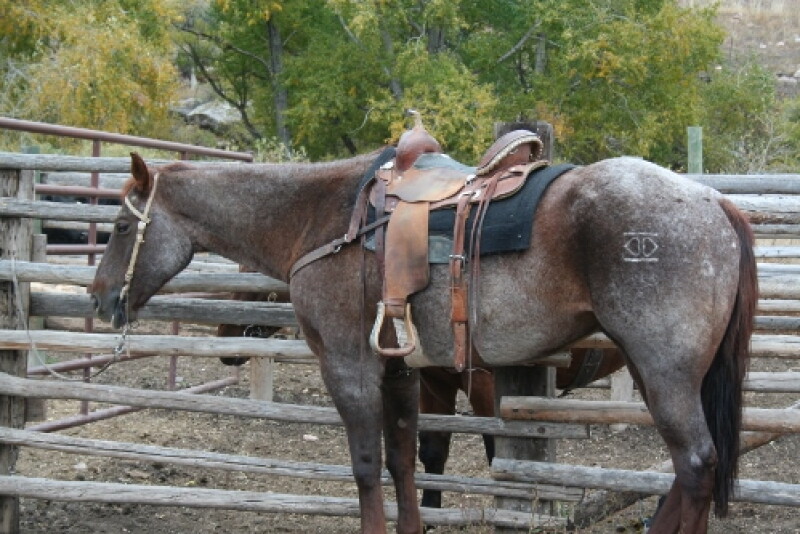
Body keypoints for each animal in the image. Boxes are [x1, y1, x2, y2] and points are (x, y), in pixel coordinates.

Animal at [91, 149, 756, 534]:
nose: (100, 299)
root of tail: (715, 202)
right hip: (659, 372)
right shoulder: (405, 371)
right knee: (693, 470)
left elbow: (366, 466)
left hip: (664, 372)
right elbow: (406, 462)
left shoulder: (350, 366)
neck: (324, 216)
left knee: (696, 465)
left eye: (122, 225)